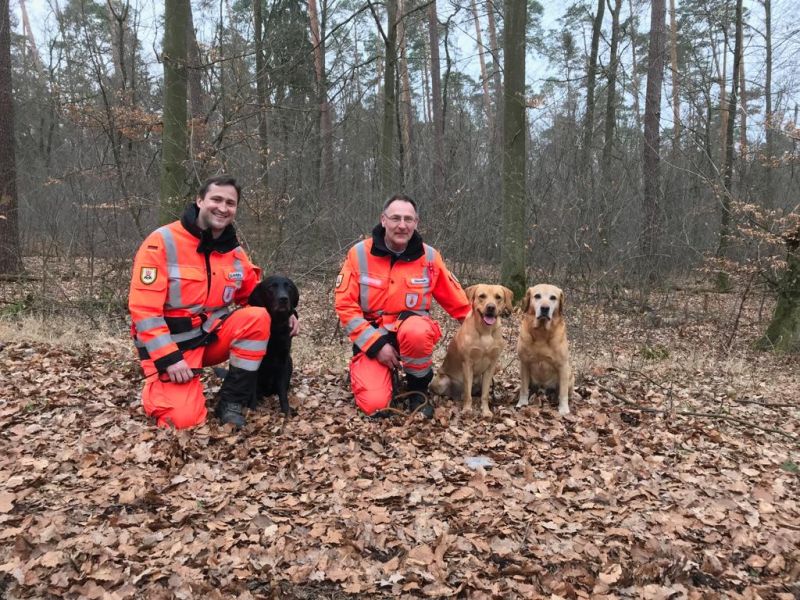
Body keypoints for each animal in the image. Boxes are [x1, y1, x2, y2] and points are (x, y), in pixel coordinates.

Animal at [432, 286, 512, 418]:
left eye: (498, 297)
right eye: (482, 296)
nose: (491, 307)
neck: (485, 331)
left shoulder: (491, 366)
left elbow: (485, 394)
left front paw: (486, 411)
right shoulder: (467, 363)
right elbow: (467, 393)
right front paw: (467, 410)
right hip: (442, 381)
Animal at [516, 284, 572, 414]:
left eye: (553, 297)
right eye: (537, 296)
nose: (545, 308)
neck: (542, 332)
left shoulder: (563, 365)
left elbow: (563, 392)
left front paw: (564, 409)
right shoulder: (524, 363)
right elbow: (523, 388)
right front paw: (522, 403)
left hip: (570, 374)